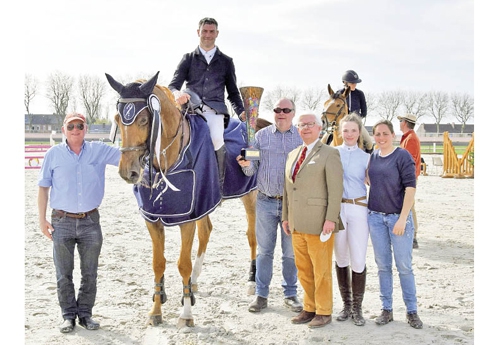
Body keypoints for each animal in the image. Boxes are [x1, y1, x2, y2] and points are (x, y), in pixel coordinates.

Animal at [106, 70, 262, 328]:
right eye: (118, 120)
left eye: (144, 120)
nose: (129, 173)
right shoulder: (154, 219)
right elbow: (158, 263)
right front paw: (156, 310)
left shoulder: (187, 218)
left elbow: (182, 263)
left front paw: (186, 313)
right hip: (205, 204)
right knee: (207, 231)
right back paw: (195, 281)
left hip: (249, 196)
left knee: (252, 236)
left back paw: (251, 282)